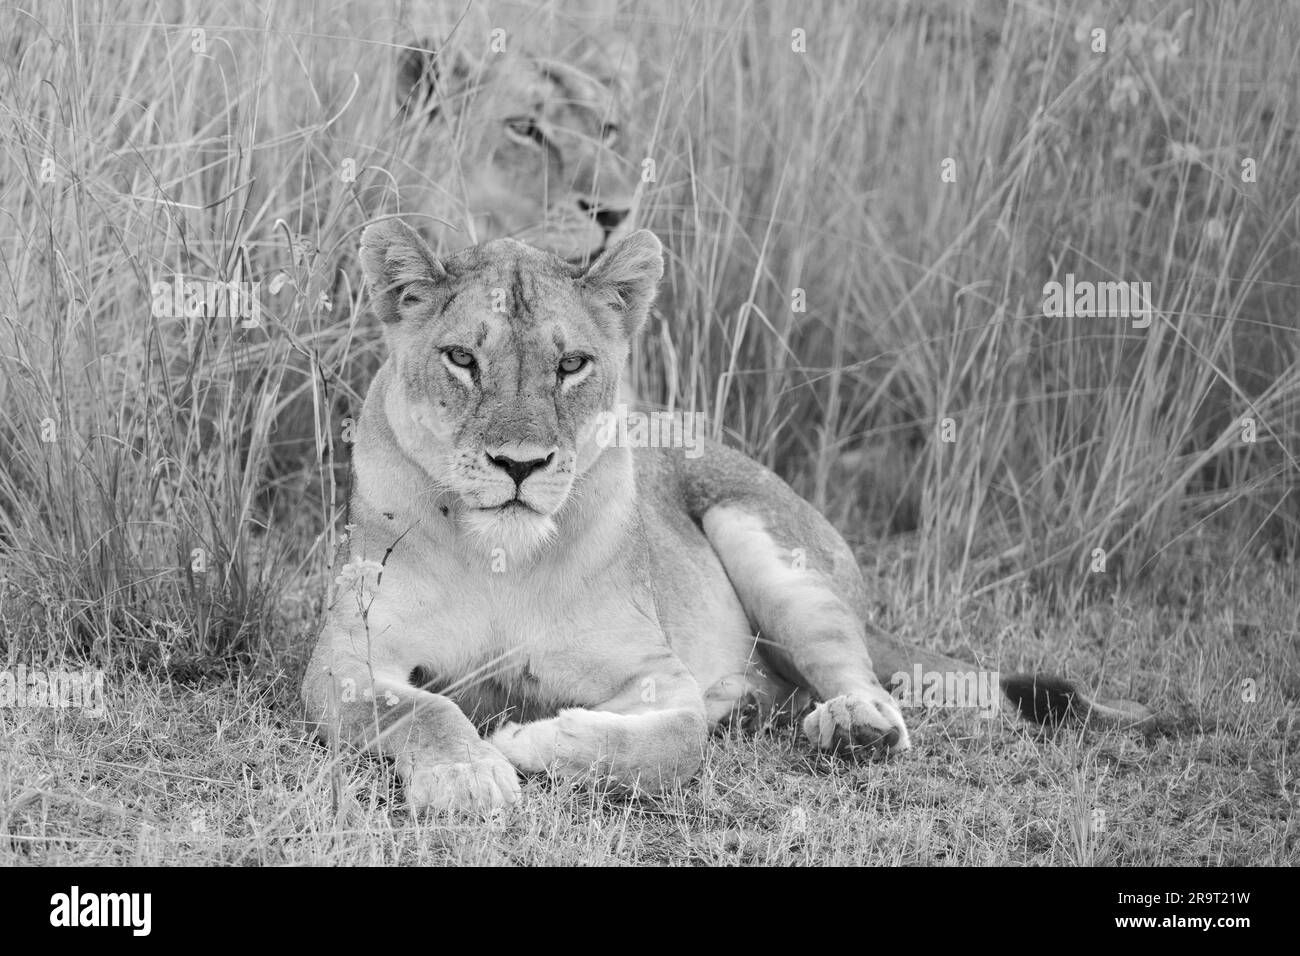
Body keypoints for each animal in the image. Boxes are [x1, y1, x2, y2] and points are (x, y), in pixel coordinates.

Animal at [302, 220, 1156, 813]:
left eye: (571, 364)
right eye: (462, 359)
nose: (521, 465)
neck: (500, 558)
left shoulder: (657, 674)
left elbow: (677, 741)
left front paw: (525, 739)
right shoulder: (345, 658)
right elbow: (420, 707)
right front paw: (467, 774)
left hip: (761, 538)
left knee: (852, 668)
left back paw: (855, 725)